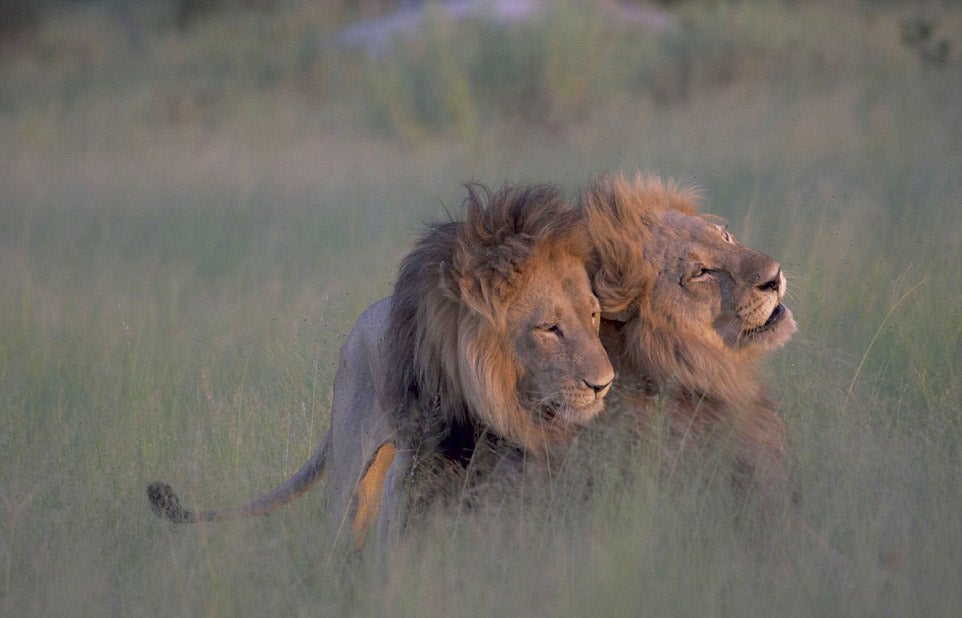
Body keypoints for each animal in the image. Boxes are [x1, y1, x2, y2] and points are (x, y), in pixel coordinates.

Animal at [148, 183, 615, 551]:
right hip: (351, 475)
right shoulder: (413, 472)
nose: (604, 384)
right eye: (549, 328)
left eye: (593, 316)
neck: (497, 408)